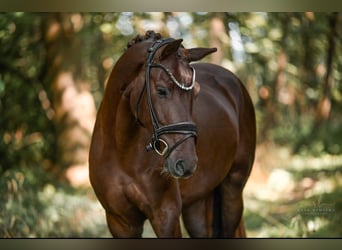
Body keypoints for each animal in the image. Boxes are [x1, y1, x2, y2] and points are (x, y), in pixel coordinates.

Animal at [89, 30, 255, 237]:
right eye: (161, 90)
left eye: (196, 93)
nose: (186, 163)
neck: (121, 151)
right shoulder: (120, 221)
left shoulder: (166, 216)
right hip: (197, 204)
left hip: (232, 191)